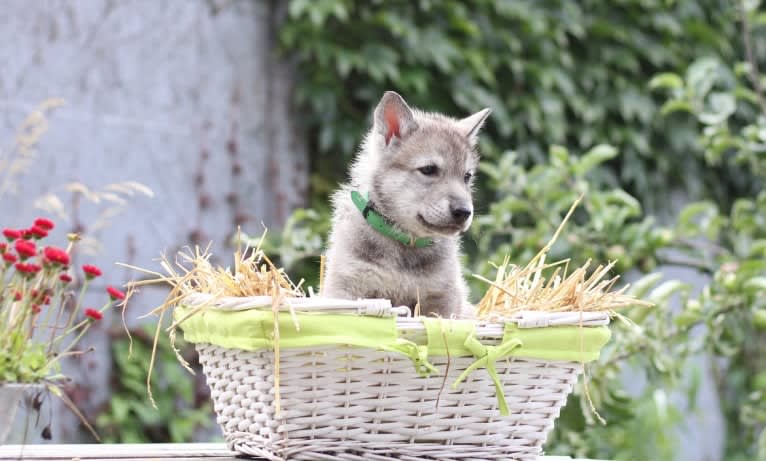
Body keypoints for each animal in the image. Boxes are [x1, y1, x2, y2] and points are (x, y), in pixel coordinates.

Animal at [322, 91, 492, 318]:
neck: (403, 240)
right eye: (428, 169)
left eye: (467, 176)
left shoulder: (443, 298)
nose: (464, 212)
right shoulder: (346, 287)